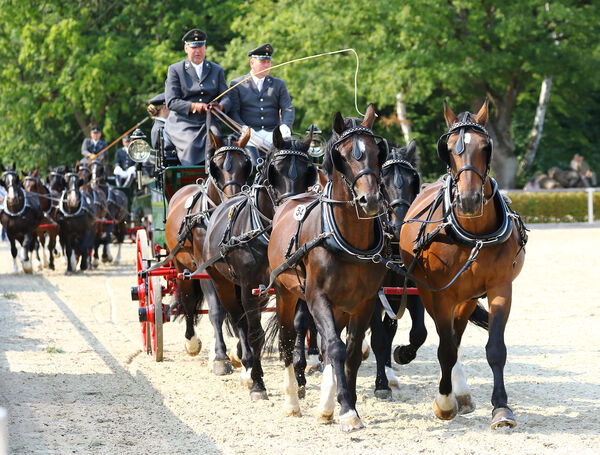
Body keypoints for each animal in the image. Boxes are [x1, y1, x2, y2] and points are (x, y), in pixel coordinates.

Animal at [163, 127, 252, 366]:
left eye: (246, 165)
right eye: (216, 167)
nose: (234, 201)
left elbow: (238, 309)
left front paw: (237, 351)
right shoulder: (206, 267)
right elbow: (216, 310)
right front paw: (221, 356)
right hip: (182, 266)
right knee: (187, 300)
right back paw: (192, 342)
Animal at [203, 124, 318, 400]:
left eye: (309, 172)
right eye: (274, 172)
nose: (292, 210)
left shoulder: (295, 284)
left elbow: (299, 327)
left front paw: (299, 378)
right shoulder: (249, 287)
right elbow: (254, 333)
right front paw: (257, 383)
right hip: (223, 283)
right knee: (238, 320)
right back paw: (245, 365)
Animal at [264, 105, 386, 432]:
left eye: (376, 151)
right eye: (342, 156)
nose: (370, 199)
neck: (348, 239)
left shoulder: (364, 302)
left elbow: (350, 352)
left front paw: (346, 403)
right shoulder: (317, 297)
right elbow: (334, 346)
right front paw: (346, 409)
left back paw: (325, 404)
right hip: (285, 292)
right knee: (287, 339)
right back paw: (292, 400)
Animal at [400, 100, 528, 432]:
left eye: (485, 146)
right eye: (449, 148)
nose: (469, 200)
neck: (474, 235)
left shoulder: (500, 288)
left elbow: (495, 349)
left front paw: (501, 408)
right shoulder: (440, 294)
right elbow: (444, 349)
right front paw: (444, 403)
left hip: (468, 297)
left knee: (456, 335)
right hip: (432, 293)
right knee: (445, 339)